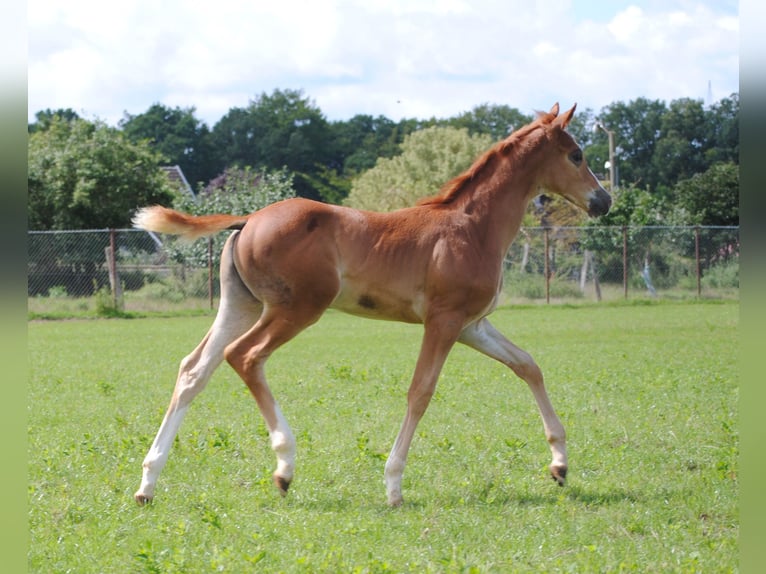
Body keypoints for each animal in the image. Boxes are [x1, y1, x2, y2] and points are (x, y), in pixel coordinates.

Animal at [132, 103, 611, 507]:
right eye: (576, 154)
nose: (603, 201)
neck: (473, 227)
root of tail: (247, 219)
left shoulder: (473, 324)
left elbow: (527, 365)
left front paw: (560, 464)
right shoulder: (444, 321)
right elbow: (421, 391)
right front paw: (393, 484)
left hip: (240, 305)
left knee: (194, 369)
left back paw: (148, 483)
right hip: (296, 309)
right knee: (244, 356)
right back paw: (284, 467)